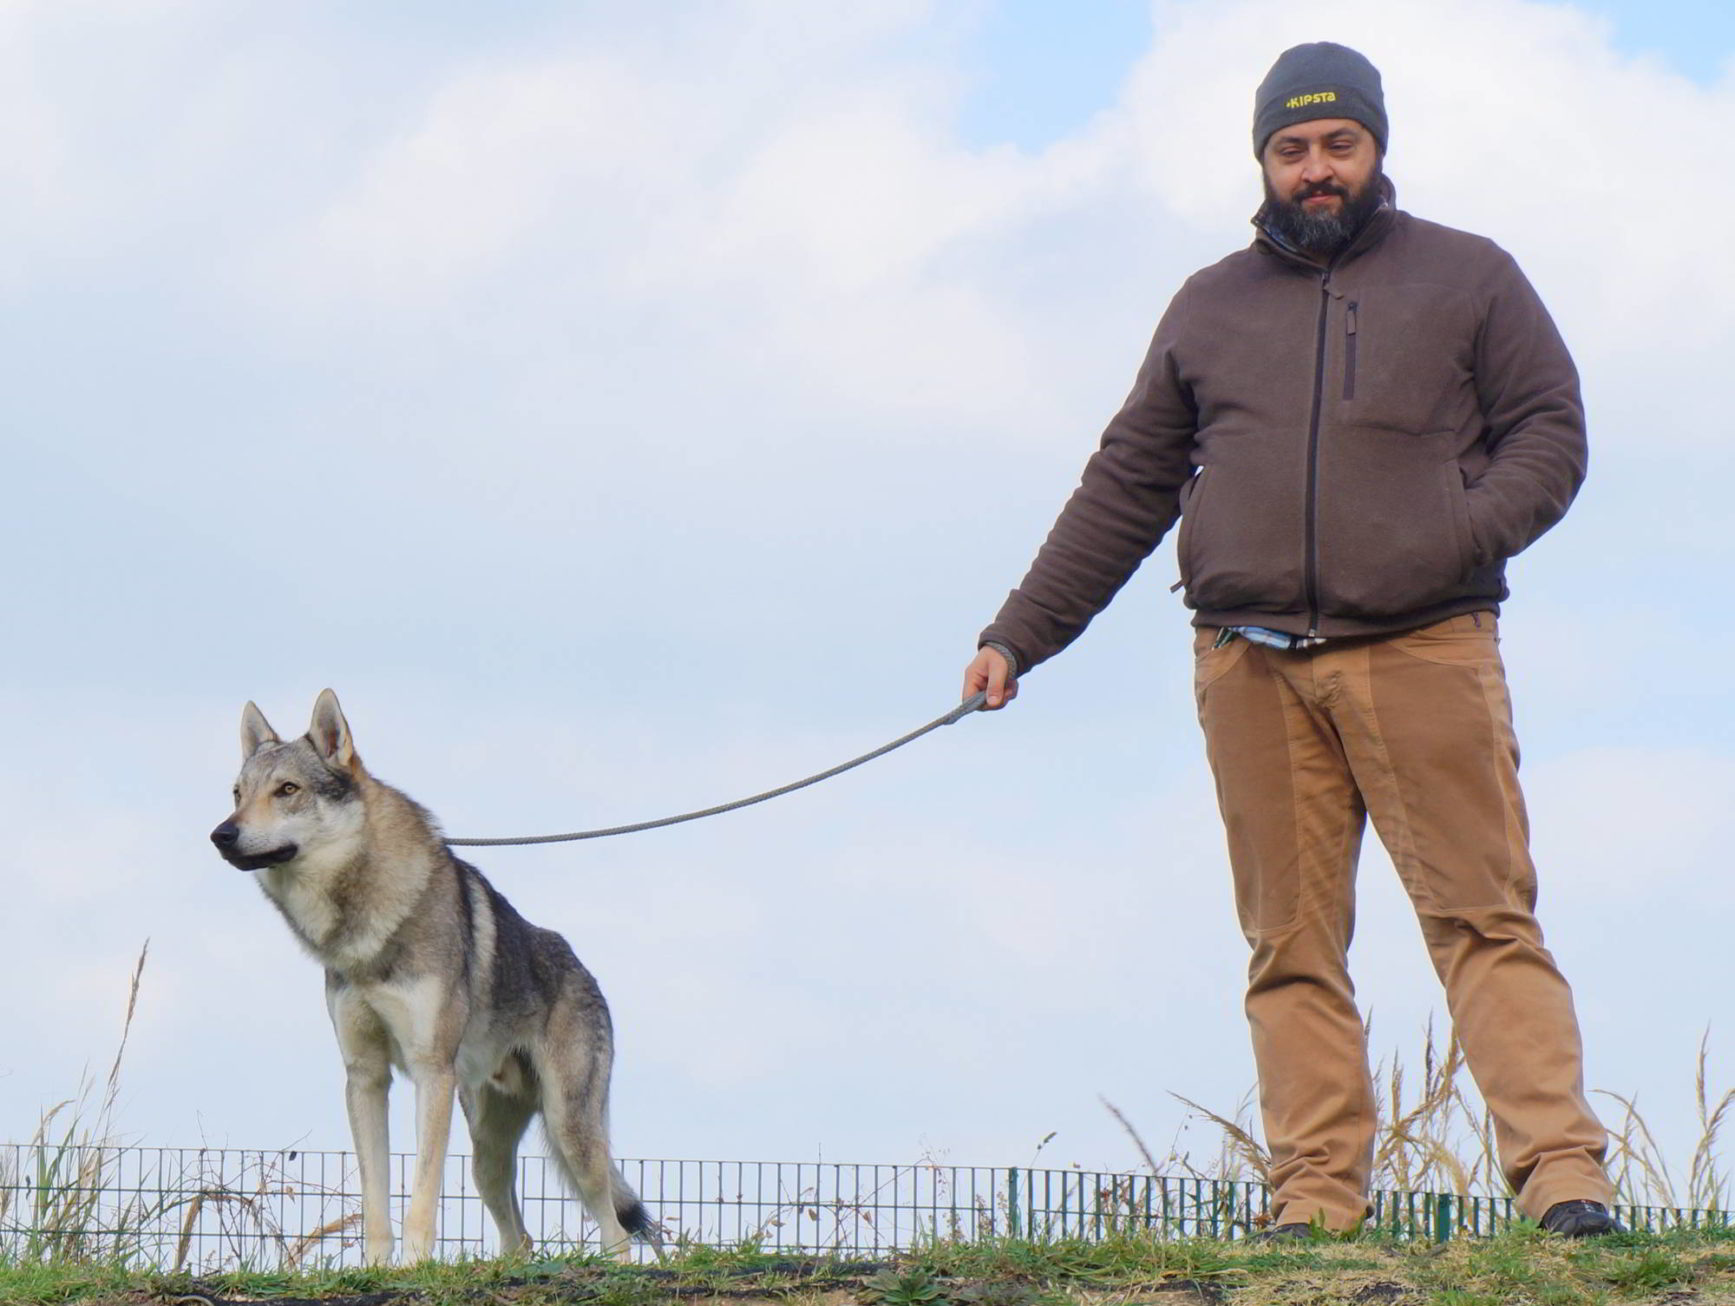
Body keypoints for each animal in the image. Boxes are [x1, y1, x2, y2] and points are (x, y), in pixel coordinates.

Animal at [209, 690, 655, 1264]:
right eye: (238, 794)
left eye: (287, 790)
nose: (221, 834)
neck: (363, 928)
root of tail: (582, 967)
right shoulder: (365, 1077)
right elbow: (376, 1200)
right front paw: (376, 1269)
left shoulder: (430, 1072)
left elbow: (421, 1198)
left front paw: (415, 1267)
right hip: (486, 1154)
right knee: (521, 1236)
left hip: (570, 1131)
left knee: (615, 1230)